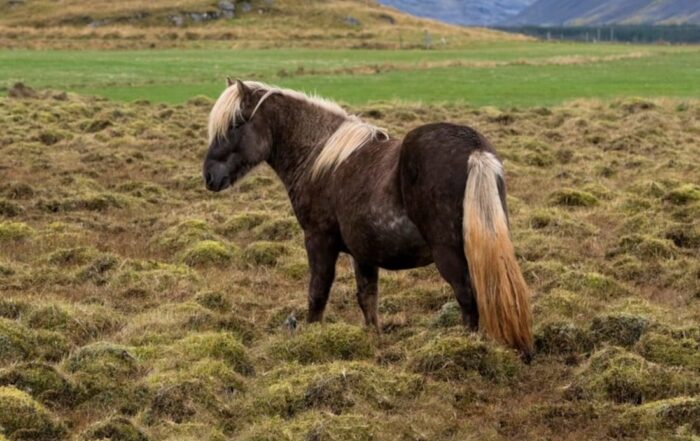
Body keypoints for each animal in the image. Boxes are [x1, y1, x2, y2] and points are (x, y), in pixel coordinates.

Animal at [203, 79, 533, 356]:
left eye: (236, 123)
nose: (209, 176)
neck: (320, 159)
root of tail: (475, 150)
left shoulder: (319, 240)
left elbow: (317, 293)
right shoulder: (363, 253)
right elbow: (367, 298)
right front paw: (374, 340)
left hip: (449, 255)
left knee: (468, 299)